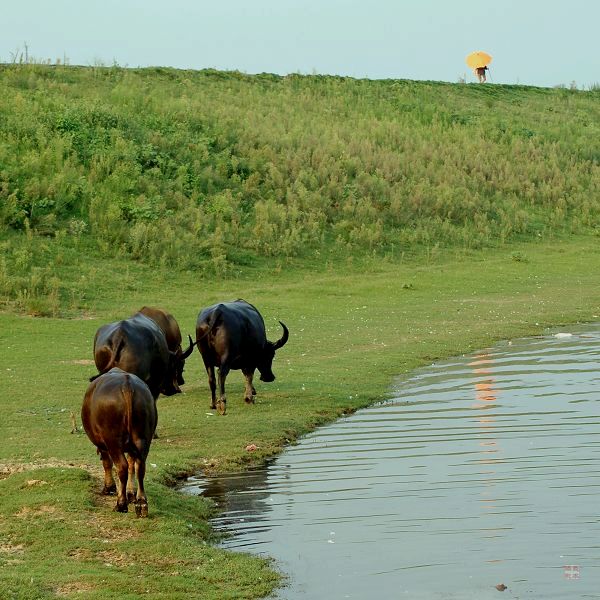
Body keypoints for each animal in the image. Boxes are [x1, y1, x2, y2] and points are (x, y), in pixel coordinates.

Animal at [81, 366, 158, 516]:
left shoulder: (104, 445)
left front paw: (109, 488)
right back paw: (141, 503)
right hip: (143, 439)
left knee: (121, 467)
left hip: (113, 442)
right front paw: (131, 493)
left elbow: (107, 463)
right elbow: (131, 465)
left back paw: (121, 504)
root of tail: (127, 385)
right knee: (140, 466)